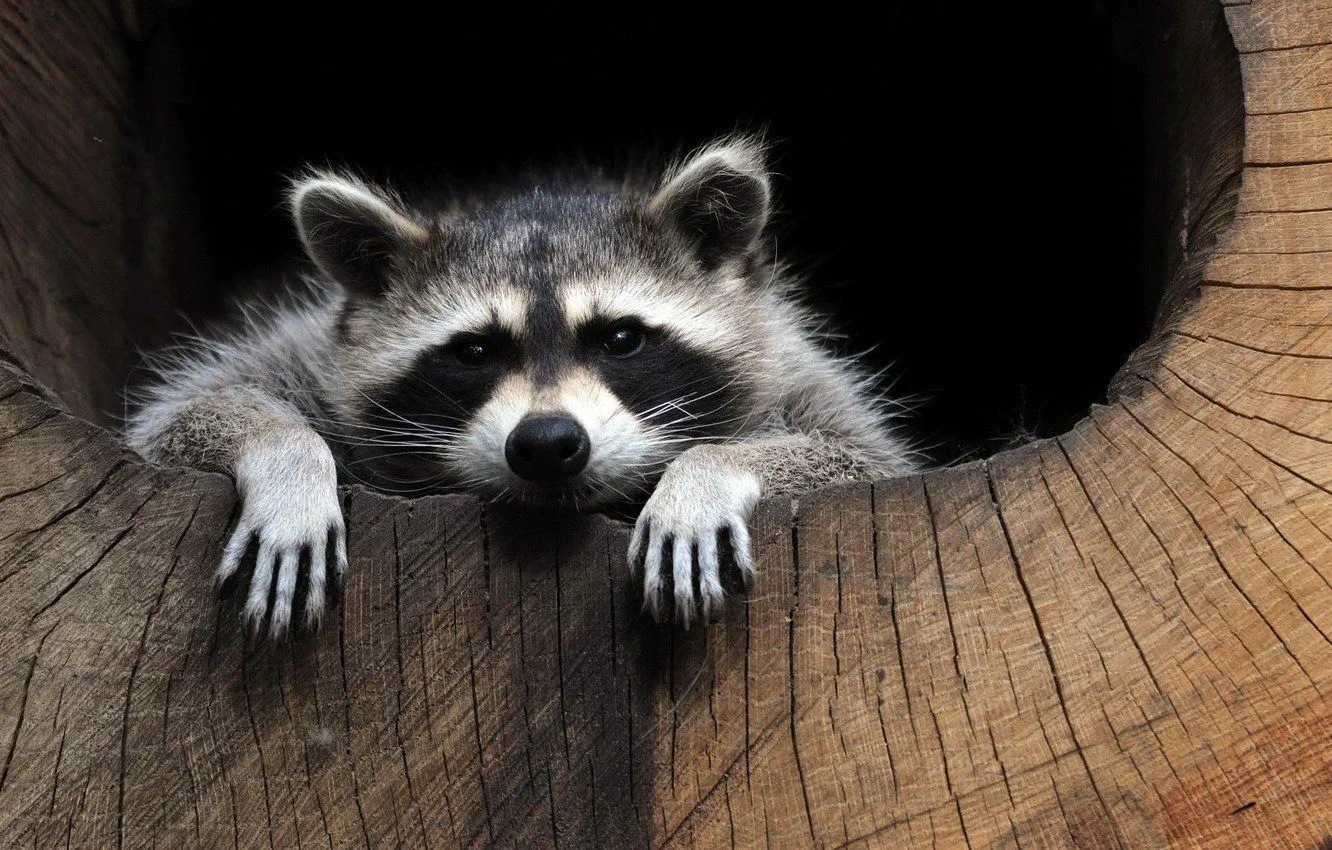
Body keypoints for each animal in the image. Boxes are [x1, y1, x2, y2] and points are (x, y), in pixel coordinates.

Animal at [125, 137, 920, 639]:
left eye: (621, 339)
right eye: (474, 352)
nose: (546, 443)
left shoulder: (794, 363)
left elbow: (863, 457)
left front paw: (709, 471)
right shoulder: (307, 347)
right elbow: (178, 417)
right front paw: (287, 457)